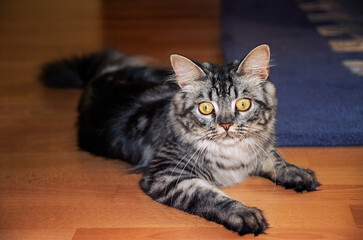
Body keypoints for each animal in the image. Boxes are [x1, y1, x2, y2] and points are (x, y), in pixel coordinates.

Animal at [40, 44, 322, 235]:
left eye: (243, 104)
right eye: (206, 108)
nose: (226, 125)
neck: (234, 156)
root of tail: (100, 75)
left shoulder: (258, 147)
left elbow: (276, 159)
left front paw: (297, 174)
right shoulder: (166, 175)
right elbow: (209, 195)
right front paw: (243, 213)